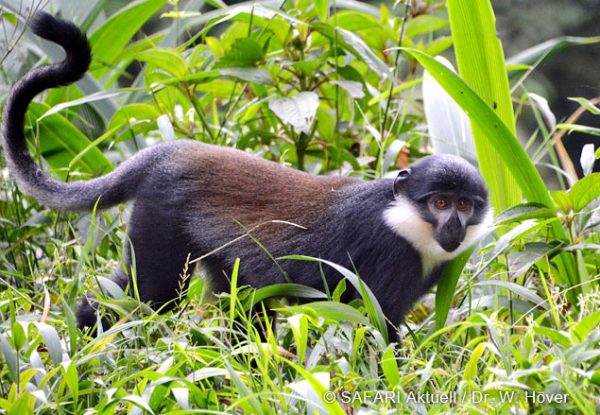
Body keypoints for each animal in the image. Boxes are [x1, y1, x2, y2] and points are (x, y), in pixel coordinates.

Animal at [0, 12, 492, 338]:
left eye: (464, 205)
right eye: (440, 203)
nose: (453, 226)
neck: (404, 217)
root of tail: (172, 152)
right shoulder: (386, 253)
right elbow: (372, 329)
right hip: (161, 219)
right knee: (149, 293)